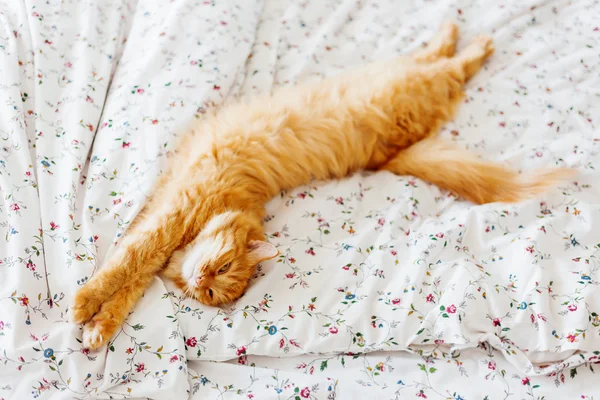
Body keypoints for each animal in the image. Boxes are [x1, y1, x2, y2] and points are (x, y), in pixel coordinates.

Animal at [70, 24, 572, 350]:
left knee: (454, 64)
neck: (233, 204)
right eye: (221, 267)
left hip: (418, 84)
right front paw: (84, 307)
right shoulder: (166, 221)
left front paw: (94, 324)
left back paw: (470, 39)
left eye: (215, 289)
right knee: (442, 59)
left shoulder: (165, 230)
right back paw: (463, 34)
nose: (200, 280)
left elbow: (127, 282)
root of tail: (391, 152)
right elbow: (125, 269)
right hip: (406, 78)